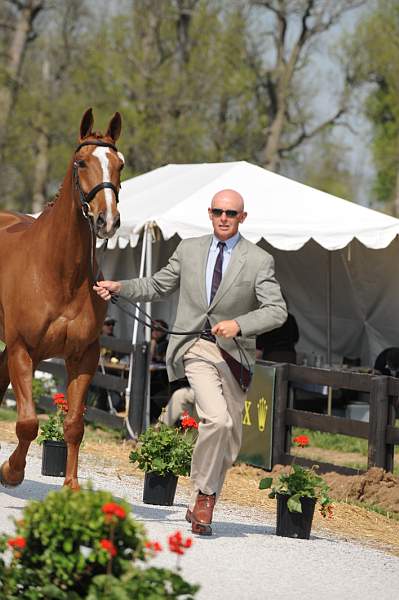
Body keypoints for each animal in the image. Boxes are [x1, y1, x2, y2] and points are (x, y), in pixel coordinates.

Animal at [0, 109, 123, 492]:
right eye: (81, 162)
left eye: (120, 165)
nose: (107, 220)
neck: (59, 273)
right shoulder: (23, 349)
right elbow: (27, 422)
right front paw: (12, 471)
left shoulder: (84, 355)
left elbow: (74, 426)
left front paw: (71, 486)